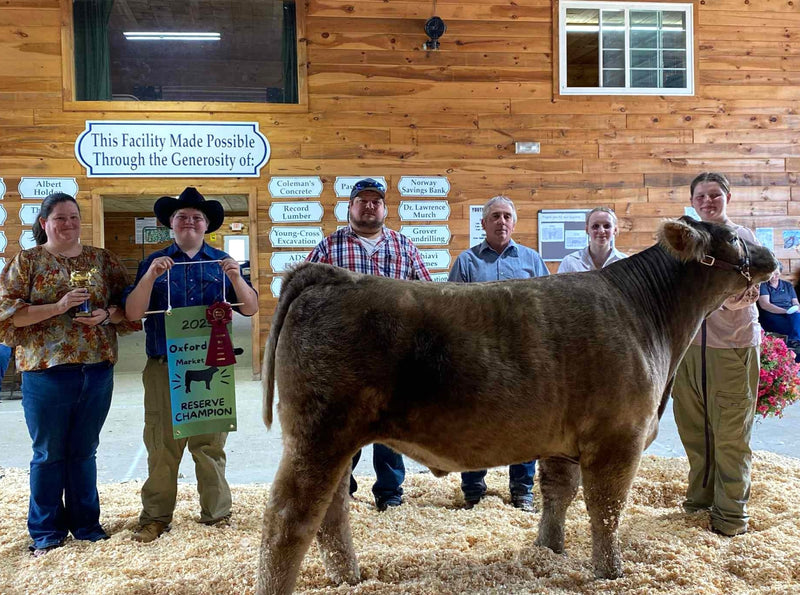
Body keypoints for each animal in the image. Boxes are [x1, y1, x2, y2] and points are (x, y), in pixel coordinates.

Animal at [257, 217, 778, 594]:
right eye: (733, 236)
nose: (771, 258)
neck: (648, 316)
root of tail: (333, 277)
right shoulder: (619, 437)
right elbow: (606, 508)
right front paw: (610, 571)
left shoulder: (564, 441)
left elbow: (558, 494)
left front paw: (549, 550)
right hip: (318, 434)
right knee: (288, 519)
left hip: (334, 441)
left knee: (330, 513)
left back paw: (350, 577)